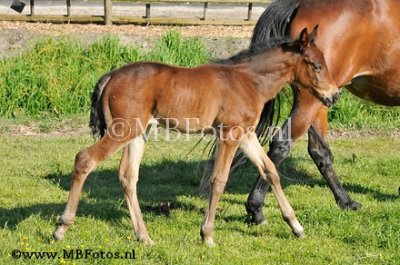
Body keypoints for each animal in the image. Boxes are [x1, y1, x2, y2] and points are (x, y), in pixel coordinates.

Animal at [53, 27, 338, 245]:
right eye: (316, 65)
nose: (334, 95)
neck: (249, 81)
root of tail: (111, 76)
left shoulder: (246, 135)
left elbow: (270, 170)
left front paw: (296, 226)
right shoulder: (230, 135)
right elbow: (219, 179)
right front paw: (207, 235)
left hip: (139, 133)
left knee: (128, 176)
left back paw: (144, 236)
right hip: (123, 130)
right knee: (85, 159)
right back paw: (62, 227)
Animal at [247, 0, 400, 225]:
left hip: (321, 99)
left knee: (319, 151)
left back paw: (345, 200)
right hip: (310, 101)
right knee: (281, 144)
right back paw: (256, 207)